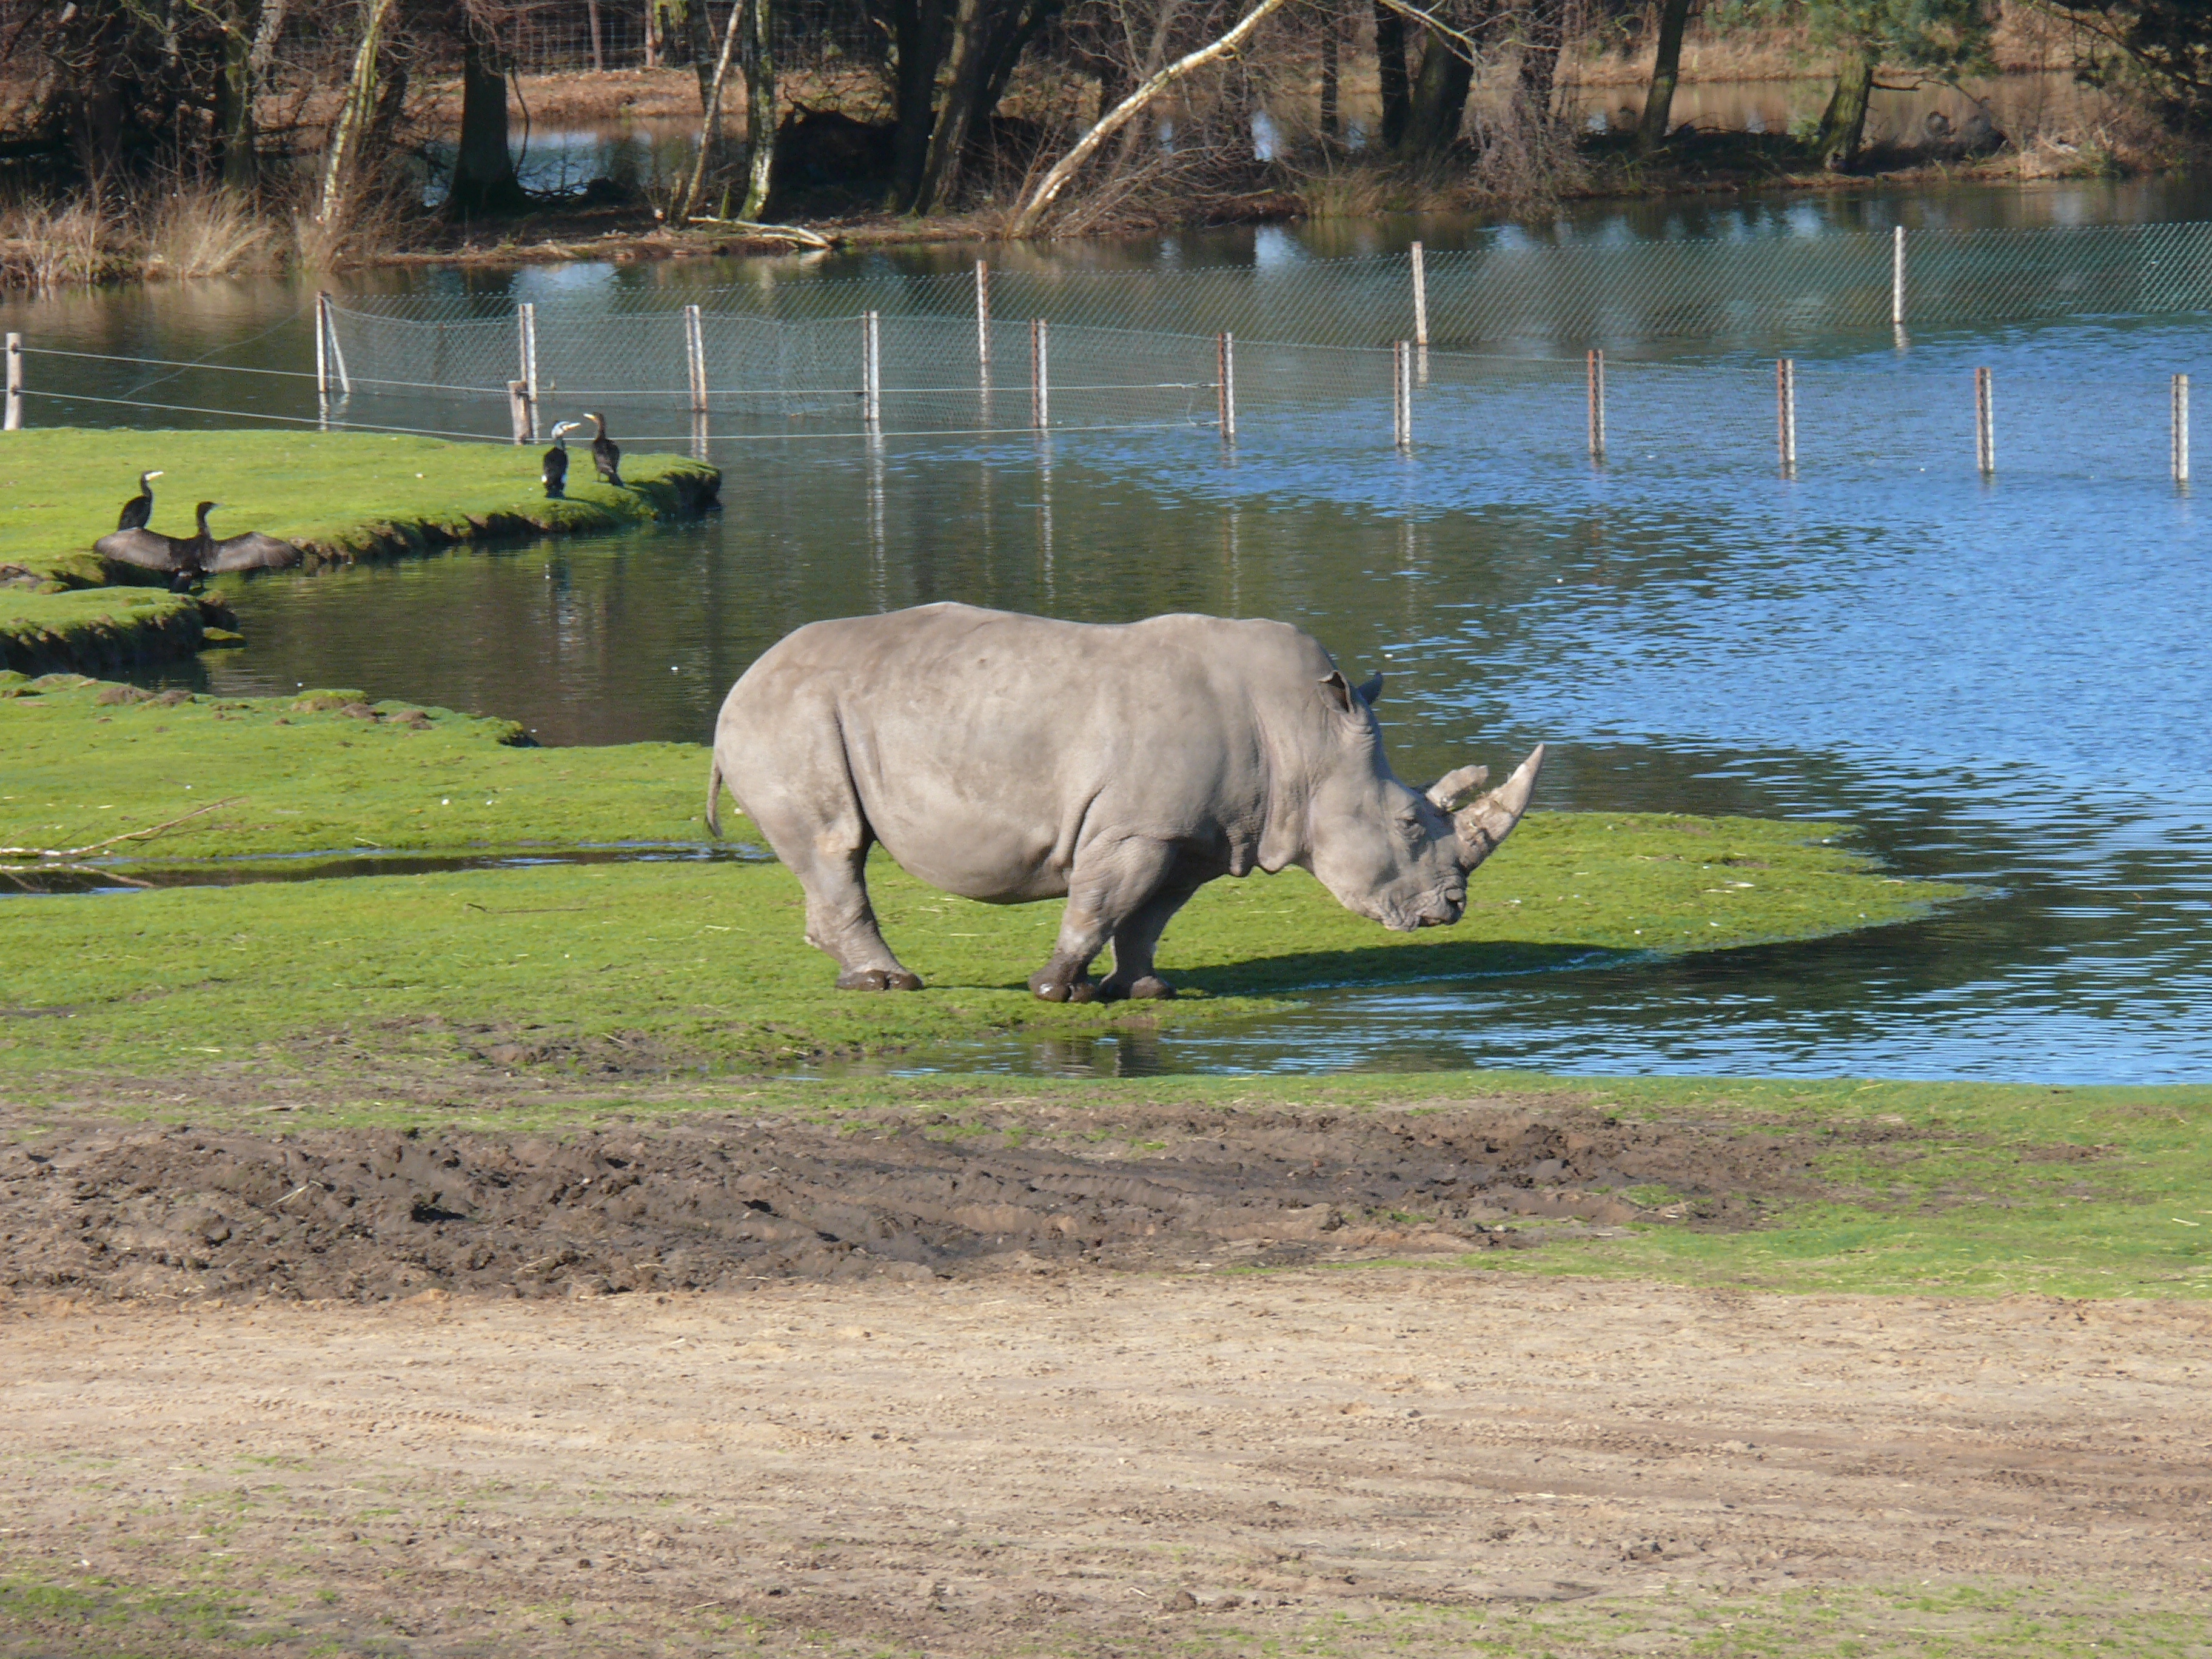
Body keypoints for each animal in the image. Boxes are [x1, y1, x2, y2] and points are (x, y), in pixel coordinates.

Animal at [706, 603, 1544, 1002]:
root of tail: (745, 678)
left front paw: (1140, 989)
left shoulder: (1199, 835)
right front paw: (1055, 990)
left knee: (833, 852)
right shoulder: (1138, 825)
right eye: (1407, 823)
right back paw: (893, 984)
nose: (1451, 908)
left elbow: (1146, 916)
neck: (1306, 735)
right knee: (836, 845)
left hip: (798, 711)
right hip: (790, 717)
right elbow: (1098, 903)